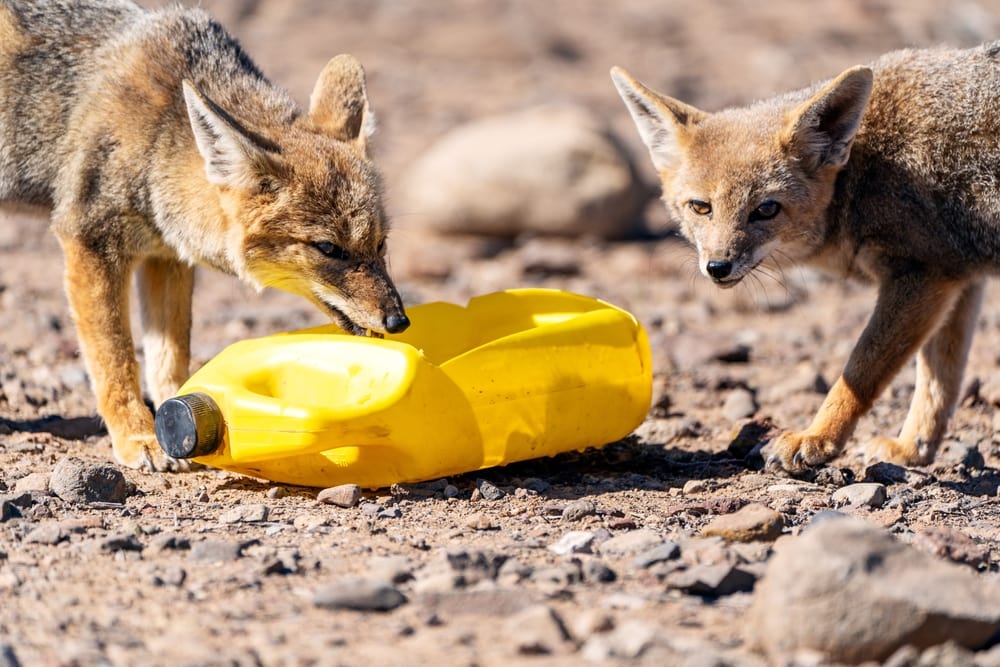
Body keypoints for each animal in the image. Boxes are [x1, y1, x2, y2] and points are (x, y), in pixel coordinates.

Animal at [0, 0, 410, 471]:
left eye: (380, 244)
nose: (399, 320)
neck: (158, 137)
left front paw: (184, 419)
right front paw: (139, 436)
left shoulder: (166, 255)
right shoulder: (89, 240)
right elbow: (114, 357)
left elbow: (170, 356)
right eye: (329, 248)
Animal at [612, 42, 1000, 473]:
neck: (863, 171)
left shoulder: (920, 276)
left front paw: (817, 439)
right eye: (701, 207)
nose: (717, 267)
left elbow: (860, 372)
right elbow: (940, 379)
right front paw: (912, 448)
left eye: (766, 209)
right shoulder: (957, 275)